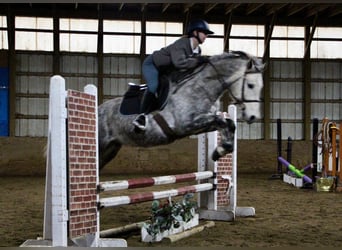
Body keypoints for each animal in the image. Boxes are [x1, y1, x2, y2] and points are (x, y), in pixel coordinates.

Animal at [98, 50, 264, 169]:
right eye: (250, 85)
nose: (253, 117)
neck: (201, 88)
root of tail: (99, 108)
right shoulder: (185, 125)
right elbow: (222, 121)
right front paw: (220, 151)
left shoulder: (201, 124)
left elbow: (228, 123)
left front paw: (220, 150)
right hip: (102, 144)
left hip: (111, 149)